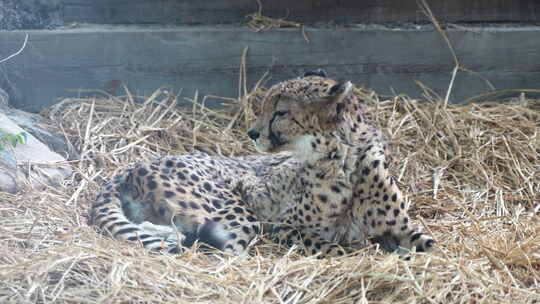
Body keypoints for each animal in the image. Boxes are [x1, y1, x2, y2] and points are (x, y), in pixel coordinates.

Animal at [89, 69, 434, 256]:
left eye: (280, 112)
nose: (253, 132)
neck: (344, 160)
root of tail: (129, 168)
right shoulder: (284, 226)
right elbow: (333, 248)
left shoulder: (401, 229)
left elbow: (431, 245)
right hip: (238, 214)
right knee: (216, 248)